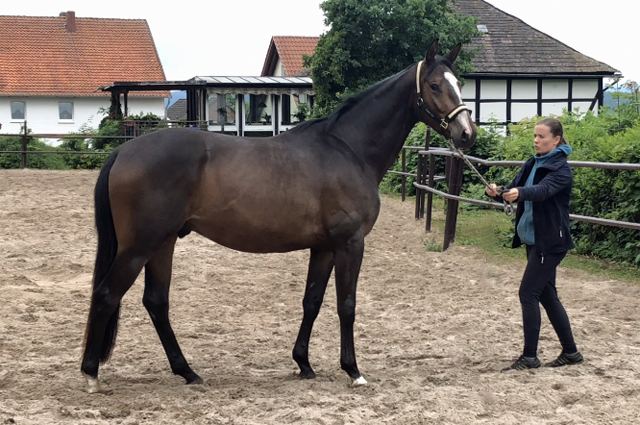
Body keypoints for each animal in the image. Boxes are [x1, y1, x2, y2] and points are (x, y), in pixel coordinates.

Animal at [81, 39, 476, 390]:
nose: (467, 134)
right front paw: (353, 370)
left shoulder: (324, 247)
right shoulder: (350, 244)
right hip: (140, 247)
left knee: (156, 302)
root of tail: (123, 151)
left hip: (162, 244)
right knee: (107, 295)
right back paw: (91, 375)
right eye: (435, 85)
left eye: (460, 84)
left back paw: (188, 372)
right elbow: (346, 304)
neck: (348, 150)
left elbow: (312, 301)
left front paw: (303, 363)